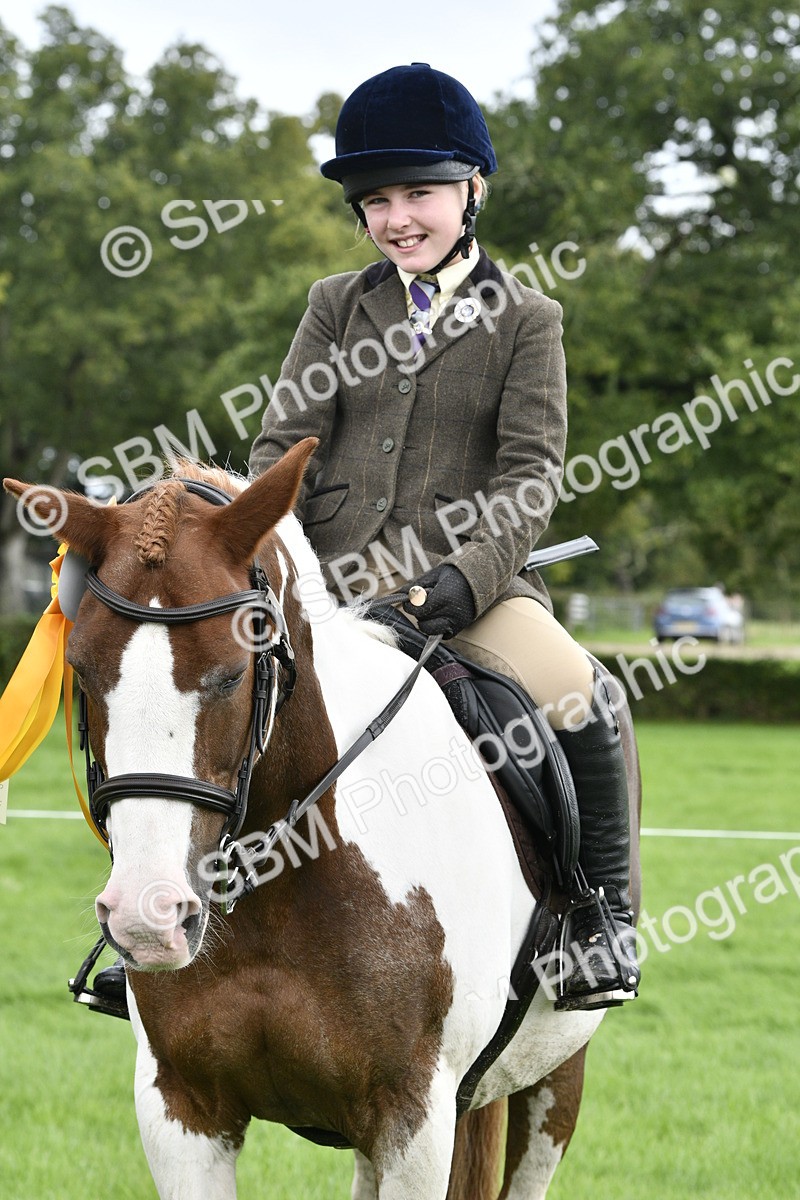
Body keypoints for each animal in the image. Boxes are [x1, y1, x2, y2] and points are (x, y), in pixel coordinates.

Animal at [5, 438, 641, 1200]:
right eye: (84, 670)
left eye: (232, 672)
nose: (147, 917)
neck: (283, 880)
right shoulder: (181, 1109)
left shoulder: (412, 1120)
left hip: (554, 1074)